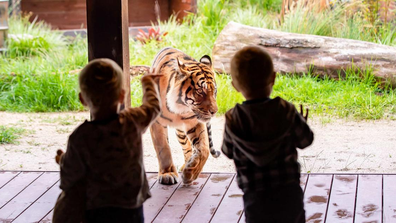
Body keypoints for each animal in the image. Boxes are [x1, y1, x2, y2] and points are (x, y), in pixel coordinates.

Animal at [150, 46, 221, 185]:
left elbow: (204, 149)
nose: (214, 111)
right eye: (200, 91)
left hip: (181, 131)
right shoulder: (157, 123)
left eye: (214, 91)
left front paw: (190, 174)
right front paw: (167, 174)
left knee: (188, 147)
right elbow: (163, 148)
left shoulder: (194, 122)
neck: (179, 108)